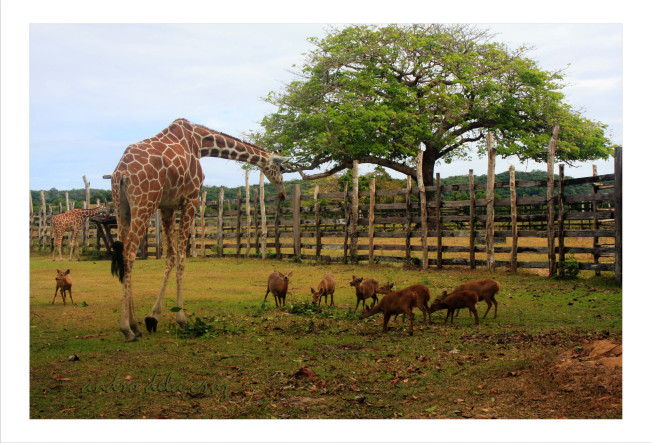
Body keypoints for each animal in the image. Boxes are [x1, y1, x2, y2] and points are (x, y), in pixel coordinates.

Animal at [111, 119, 290, 344]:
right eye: (281, 167)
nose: (283, 193)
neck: (200, 142)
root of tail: (121, 173)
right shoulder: (191, 197)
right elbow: (181, 257)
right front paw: (181, 319)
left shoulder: (167, 205)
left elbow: (170, 257)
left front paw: (153, 317)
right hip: (145, 203)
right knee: (129, 254)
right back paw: (126, 329)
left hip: (122, 208)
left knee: (123, 253)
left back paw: (135, 326)